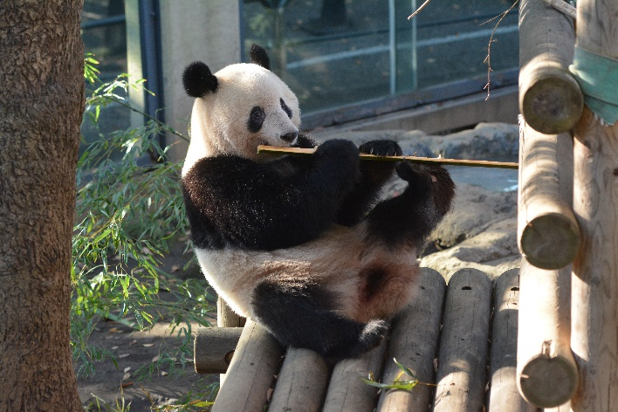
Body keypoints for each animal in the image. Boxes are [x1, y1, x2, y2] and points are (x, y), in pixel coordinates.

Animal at [180, 45, 454, 358]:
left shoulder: (302, 149)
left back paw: (431, 185)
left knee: (397, 216)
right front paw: (340, 150)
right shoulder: (211, 180)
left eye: (284, 105)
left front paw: (379, 150)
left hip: (369, 234)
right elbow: (279, 219)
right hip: (272, 279)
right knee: (290, 312)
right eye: (257, 114)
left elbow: (344, 211)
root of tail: (360, 297)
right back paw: (363, 335)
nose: (288, 134)